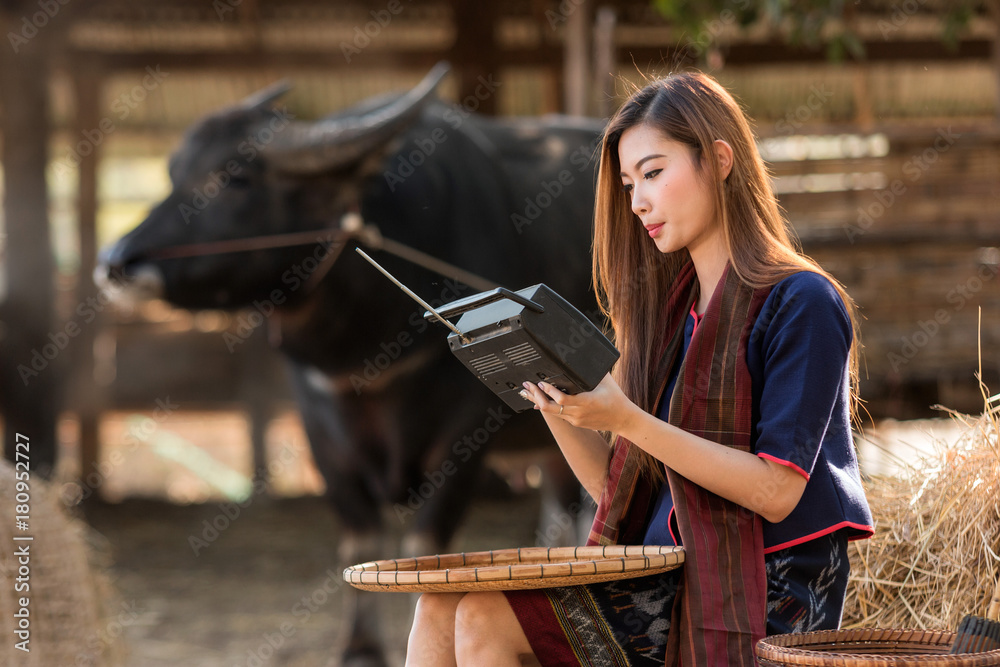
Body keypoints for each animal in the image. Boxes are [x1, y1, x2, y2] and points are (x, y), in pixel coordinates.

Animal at [97, 64, 604, 667]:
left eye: (235, 177)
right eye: (175, 172)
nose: (117, 262)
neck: (367, 348)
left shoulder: (465, 437)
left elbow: (427, 545)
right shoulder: (323, 432)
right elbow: (359, 536)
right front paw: (360, 648)